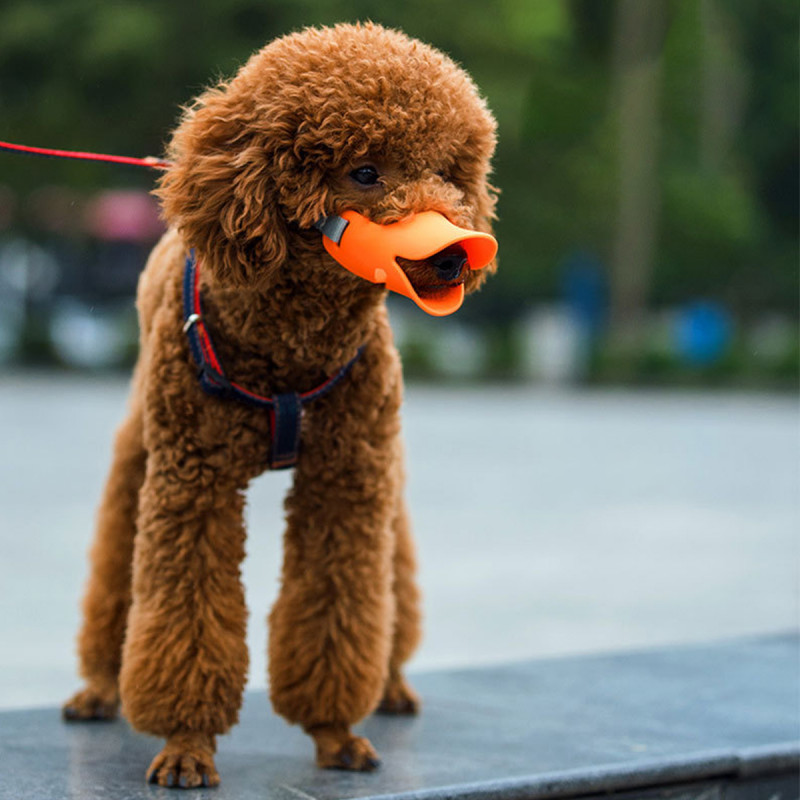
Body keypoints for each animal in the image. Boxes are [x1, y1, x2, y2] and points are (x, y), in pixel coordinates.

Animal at [62, 20, 496, 788]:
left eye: (449, 172)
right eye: (365, 172)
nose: (455, 256)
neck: (292, 343)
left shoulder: (347, 482)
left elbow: (339, 606)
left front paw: (334, 732)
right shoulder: (193, 484)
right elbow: (185, 612)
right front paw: (186, 743)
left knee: (396, 583)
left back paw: (391, 683)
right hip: (142, 451)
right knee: (117, 565)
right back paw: (99, 688)